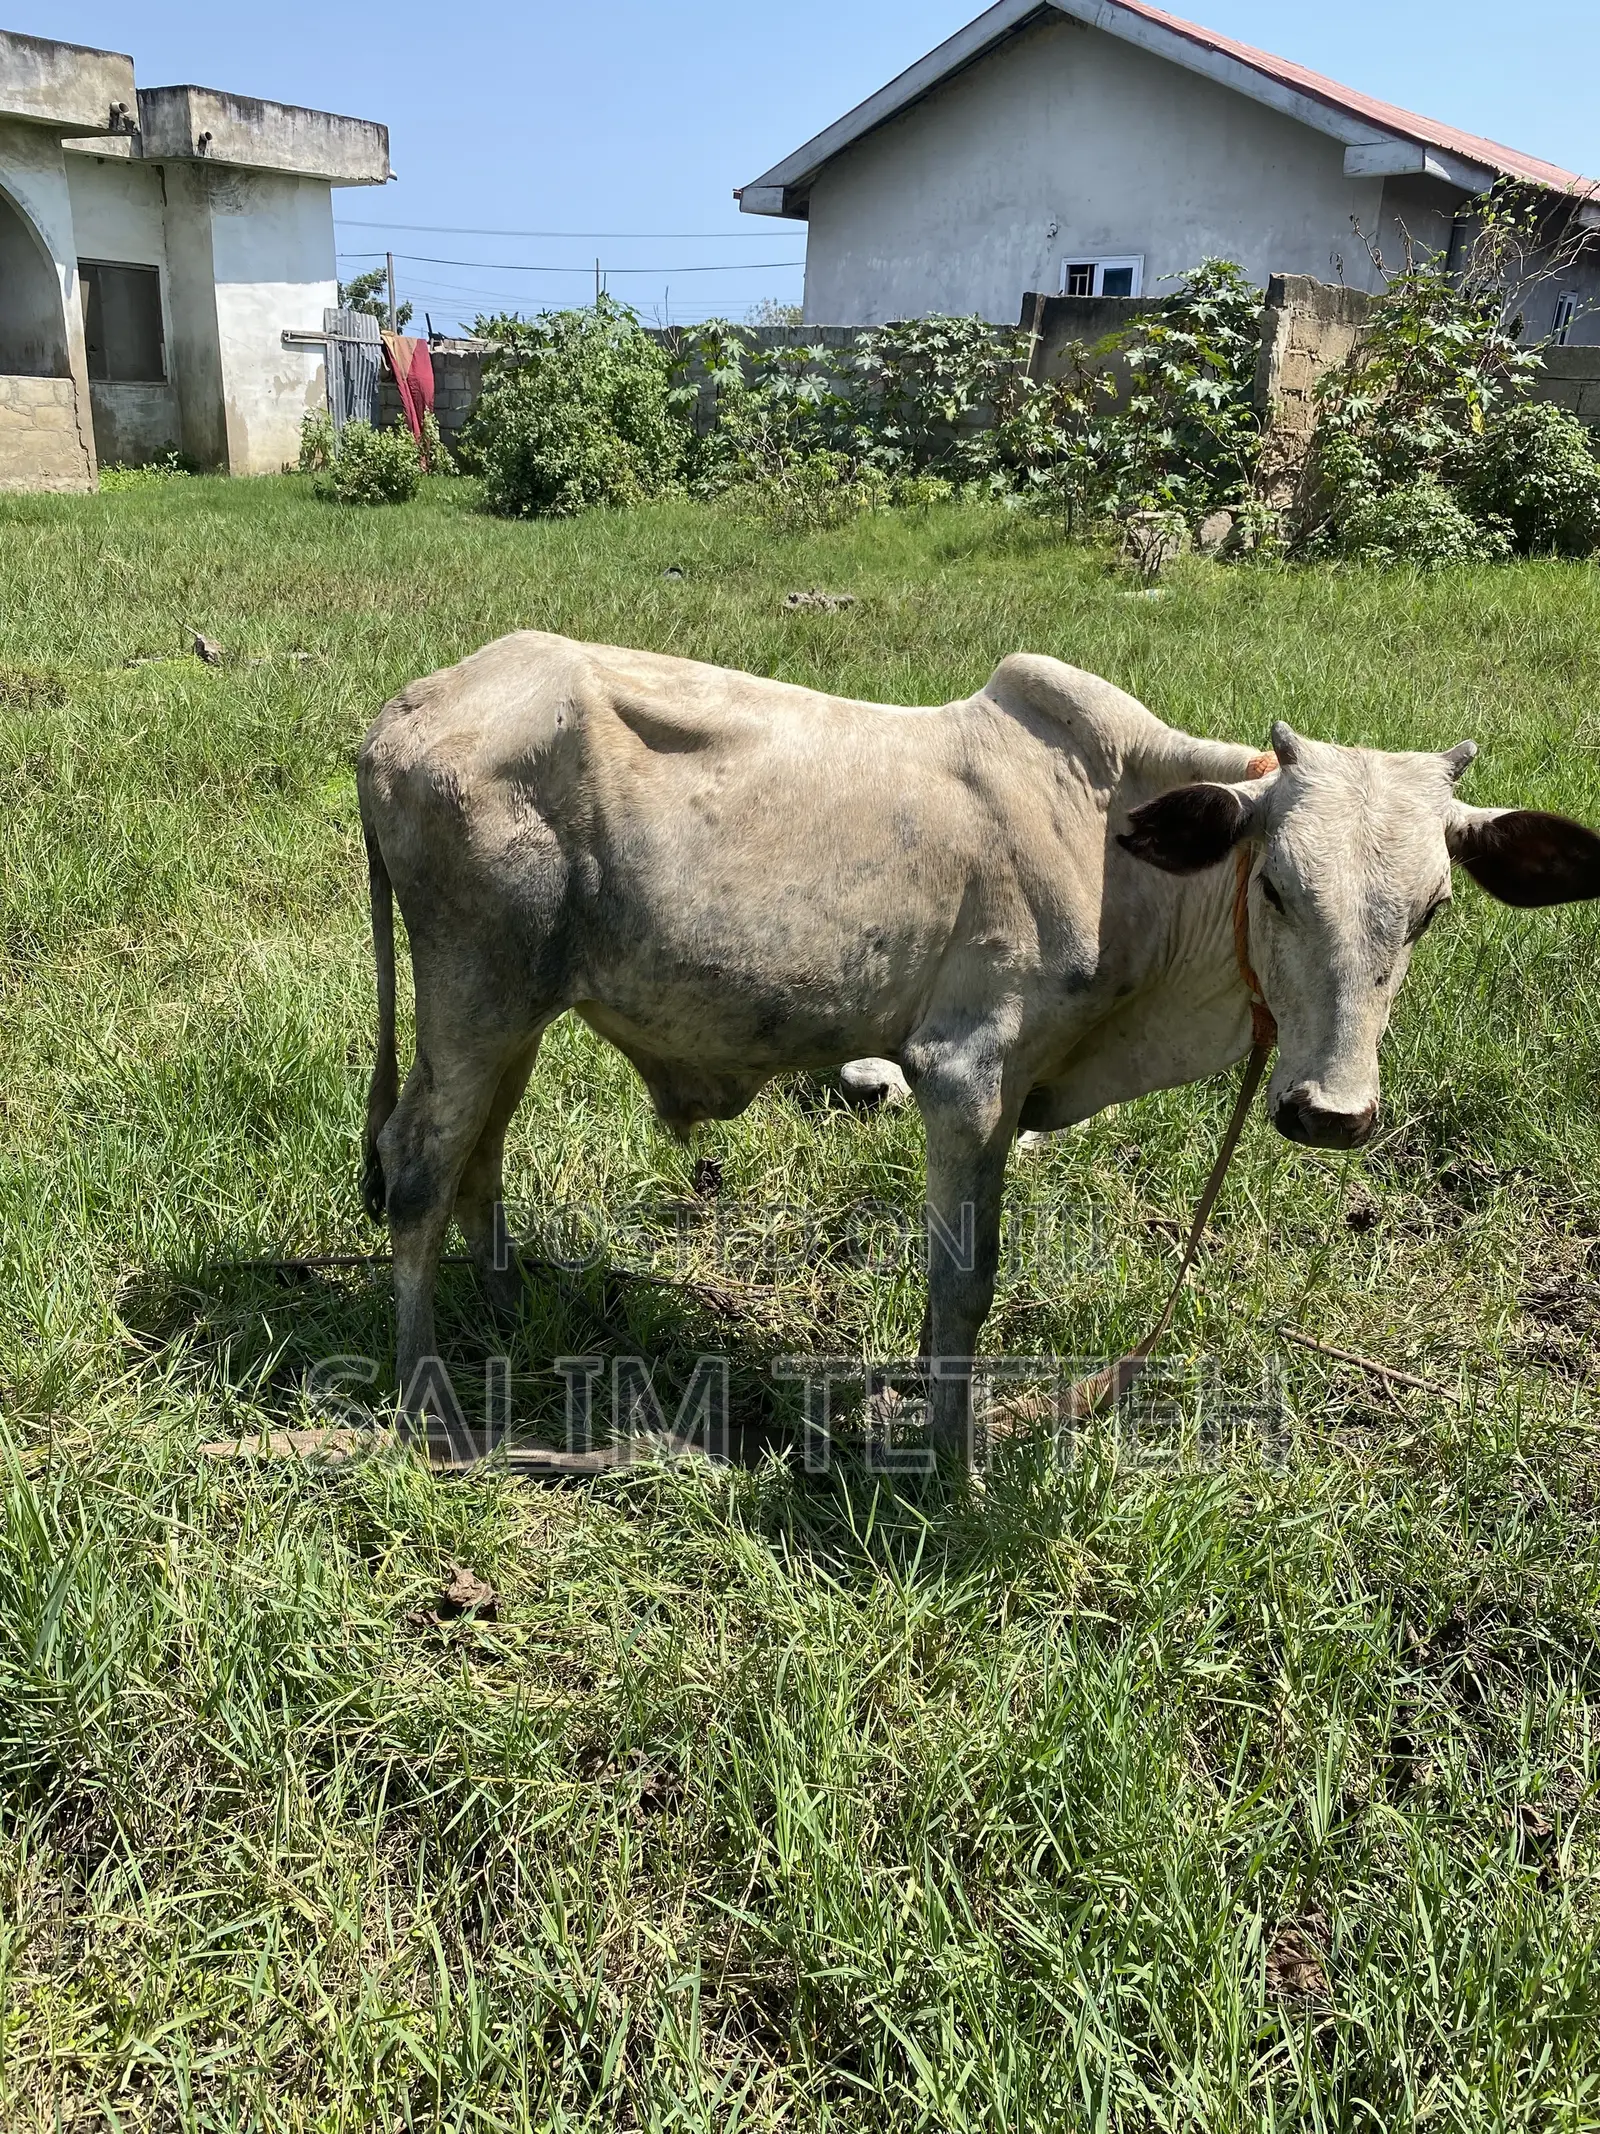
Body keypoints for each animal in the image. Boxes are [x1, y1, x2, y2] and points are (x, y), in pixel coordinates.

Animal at [356, 630, 1600, 1455]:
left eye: (1431, 909)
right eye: (1279, 887)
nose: (1329, 1112)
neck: (1118, 855)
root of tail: (402, 710)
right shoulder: (962, 1074)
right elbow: (965, 1279)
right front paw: (949, 1460)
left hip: (520, 1005)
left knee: (479, 1155)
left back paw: (508, 1309)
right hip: (474, 985)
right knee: (418, 1165)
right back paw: (431, 1398)